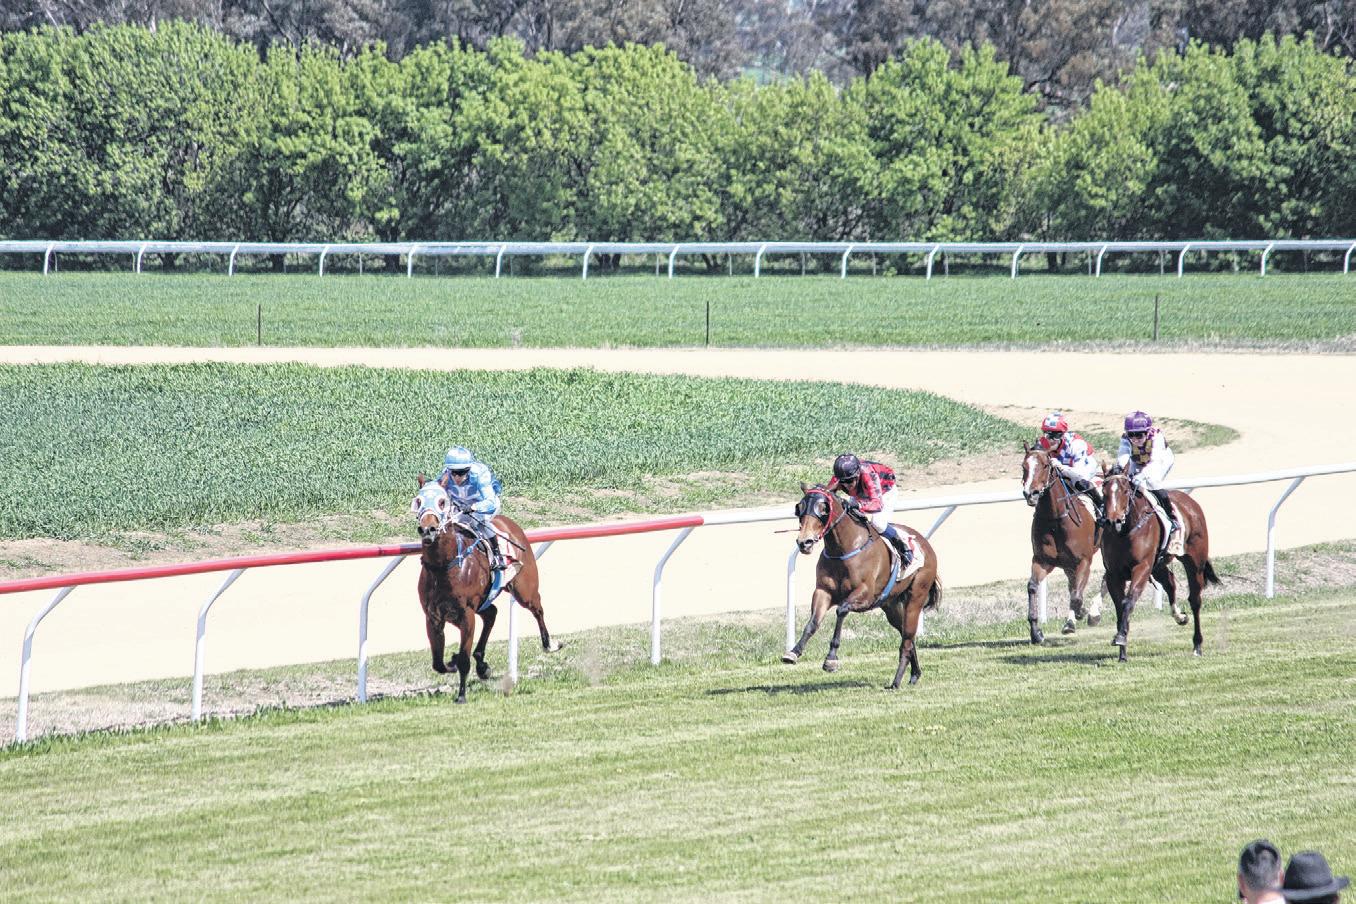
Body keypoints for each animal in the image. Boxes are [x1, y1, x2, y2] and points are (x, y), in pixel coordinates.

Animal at [411, 476, 561, 702]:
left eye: (442, 502)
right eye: (418, 501)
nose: (428, 530)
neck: (443, 566)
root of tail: (510, 523)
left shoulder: (466, 614)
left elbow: (464, 659)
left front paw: (461, 695)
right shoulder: (434, 616)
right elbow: (438, 663)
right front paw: (453, 662)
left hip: (524, 590)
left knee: (537, 609)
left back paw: (549, 644)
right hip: (481, 602)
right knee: (491, 613)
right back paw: (482, 664)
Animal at [783, 483, 942, 688]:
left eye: (824, 509)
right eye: (799, 508)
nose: (805, 542)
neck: (843, 550)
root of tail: (926, 545)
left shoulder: (865, 595)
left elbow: (841, 610)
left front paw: (831, 659)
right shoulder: (823, 592)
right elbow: (813, 623)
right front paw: (793, 652)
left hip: (916, 597)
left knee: (907, 639)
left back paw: (896, 681)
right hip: (890, 606)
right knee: (907, 635)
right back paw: (915, 674)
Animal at [1020, 445, 1106, 644]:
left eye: (1045, 465)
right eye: (1023, 467)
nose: (1031, 493)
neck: (1055, 519)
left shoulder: (1084, 561)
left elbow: (1076, 595)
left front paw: (1083, 613)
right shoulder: (1042, 561)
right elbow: (1032, 587)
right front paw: (1036, 633)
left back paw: (1093, 613)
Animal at [1099, 467, 1220, 662]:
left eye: (1125, 491)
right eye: (1104, 492)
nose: (1113, 521)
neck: (1125, 532)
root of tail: (1190, 502)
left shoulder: (1142, 567)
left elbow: (1128, 601)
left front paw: (1120, 637)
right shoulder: (1113, 574)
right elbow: (1119, 609)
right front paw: (1122, 652)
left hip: (1194, 561)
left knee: (1195, 599)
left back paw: (1197, 645)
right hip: (1158, 566)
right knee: (1170, 582)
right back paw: (1179, 616)